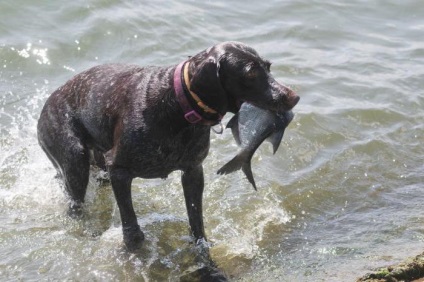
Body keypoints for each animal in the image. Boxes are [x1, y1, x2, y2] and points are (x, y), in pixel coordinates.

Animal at [38, 40, 300, 250]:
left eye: (268, 66)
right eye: (251, 73)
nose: (294, 97)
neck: (177, 107)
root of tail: (46, 105)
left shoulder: (193, 172)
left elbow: (196, 220)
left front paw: (201, 246)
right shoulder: (119, 170)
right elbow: (129, 221)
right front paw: (133, 244)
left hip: (97, 167)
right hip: (75, 163)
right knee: (75, 206)